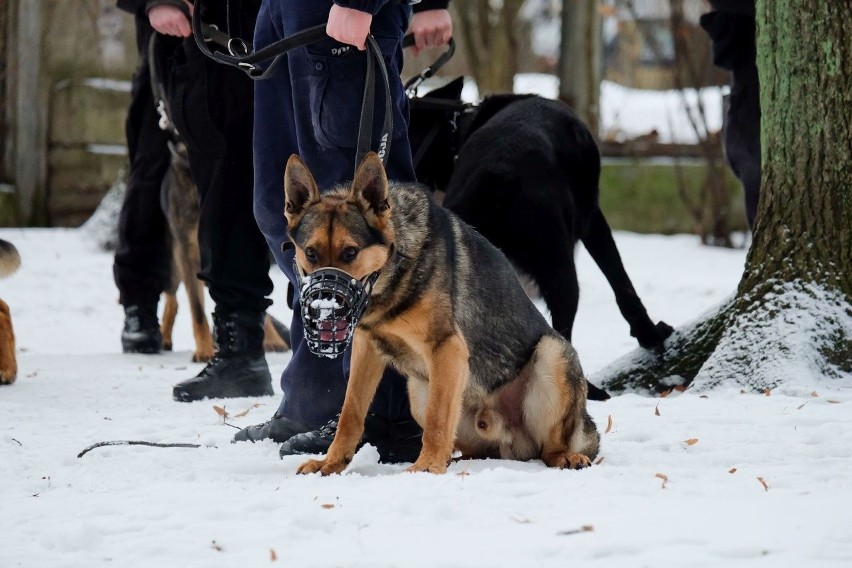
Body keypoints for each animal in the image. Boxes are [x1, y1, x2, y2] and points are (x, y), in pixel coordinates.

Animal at [286, 152, 600, 474]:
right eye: (310, 253)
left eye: (350, 253)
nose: (324, 306)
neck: (395, 268)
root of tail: (510, 440)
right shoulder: (366, 351)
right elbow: (351, 412)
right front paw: (331, 462)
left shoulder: (447, 349)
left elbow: (437, 419)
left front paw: (426, 468)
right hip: (418, 392)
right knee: (472, 447)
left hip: (552, 354)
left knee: (550, 447)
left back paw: (565, 456)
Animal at [410, 79, 676, 400]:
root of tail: (494, 177)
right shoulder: (593, 218)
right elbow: (621, 282)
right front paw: (650, 334)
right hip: (561, 272)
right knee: (562, 334)